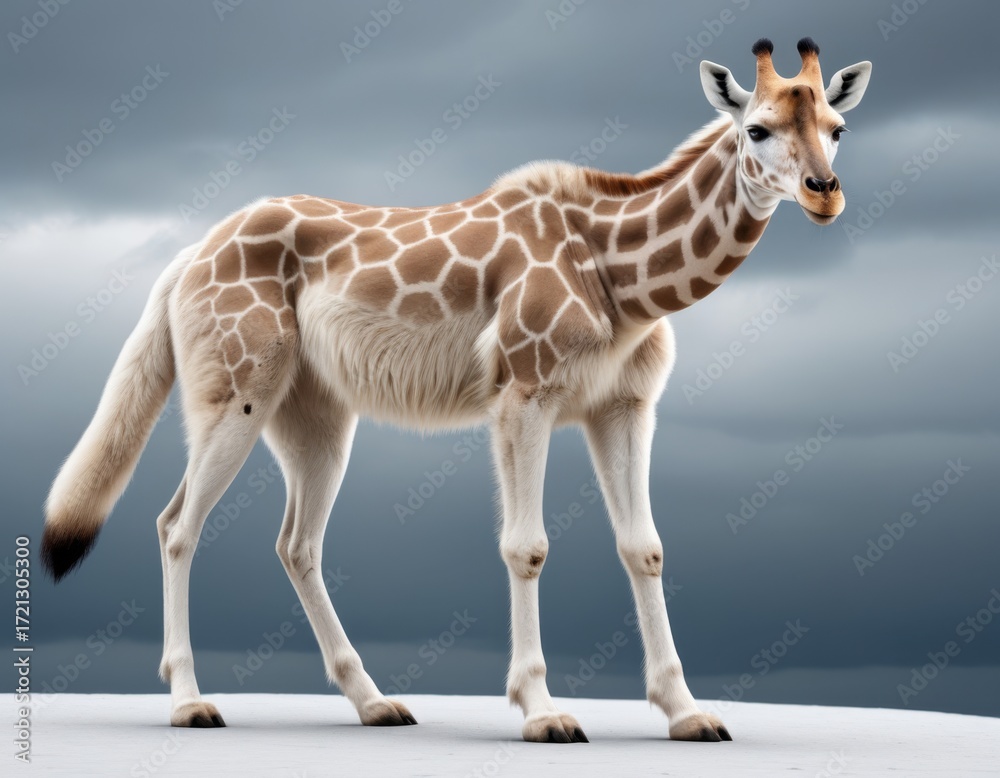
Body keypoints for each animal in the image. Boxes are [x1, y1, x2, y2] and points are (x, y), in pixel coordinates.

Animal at [42, 39, 870, 741]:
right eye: (757, 129)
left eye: (838, 127)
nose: (824, 192)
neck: (622, 279)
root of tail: (184, 260)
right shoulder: (523, 387)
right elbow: (526, 546)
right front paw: (543, 712)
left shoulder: (624, 405)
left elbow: (646, 548)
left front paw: (688, 713)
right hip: (234, 388)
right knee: (177, 524)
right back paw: (191, 703)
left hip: (314, 412)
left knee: (296, 542)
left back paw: (375, 702)